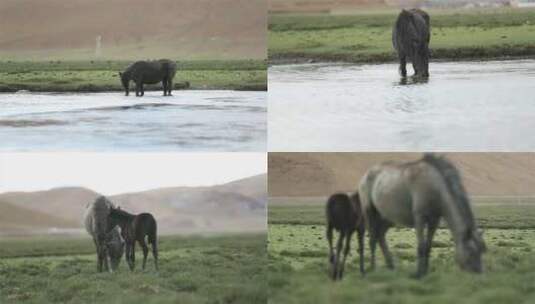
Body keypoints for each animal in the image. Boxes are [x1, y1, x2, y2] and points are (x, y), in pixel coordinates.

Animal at [358, 154, 488, 278]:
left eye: (481, 251)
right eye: (471, 251)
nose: (479, 273)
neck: (435, 187)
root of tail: (365, 175)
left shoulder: (434, 221)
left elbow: (428, 246)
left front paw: (425, 271)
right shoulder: (419, 218)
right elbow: (421, 246)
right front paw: (418, 274)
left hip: (386, 217)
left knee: (380, 236)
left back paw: (390, 266)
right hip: (370, 213)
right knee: (372, 239)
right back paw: (371, 268)